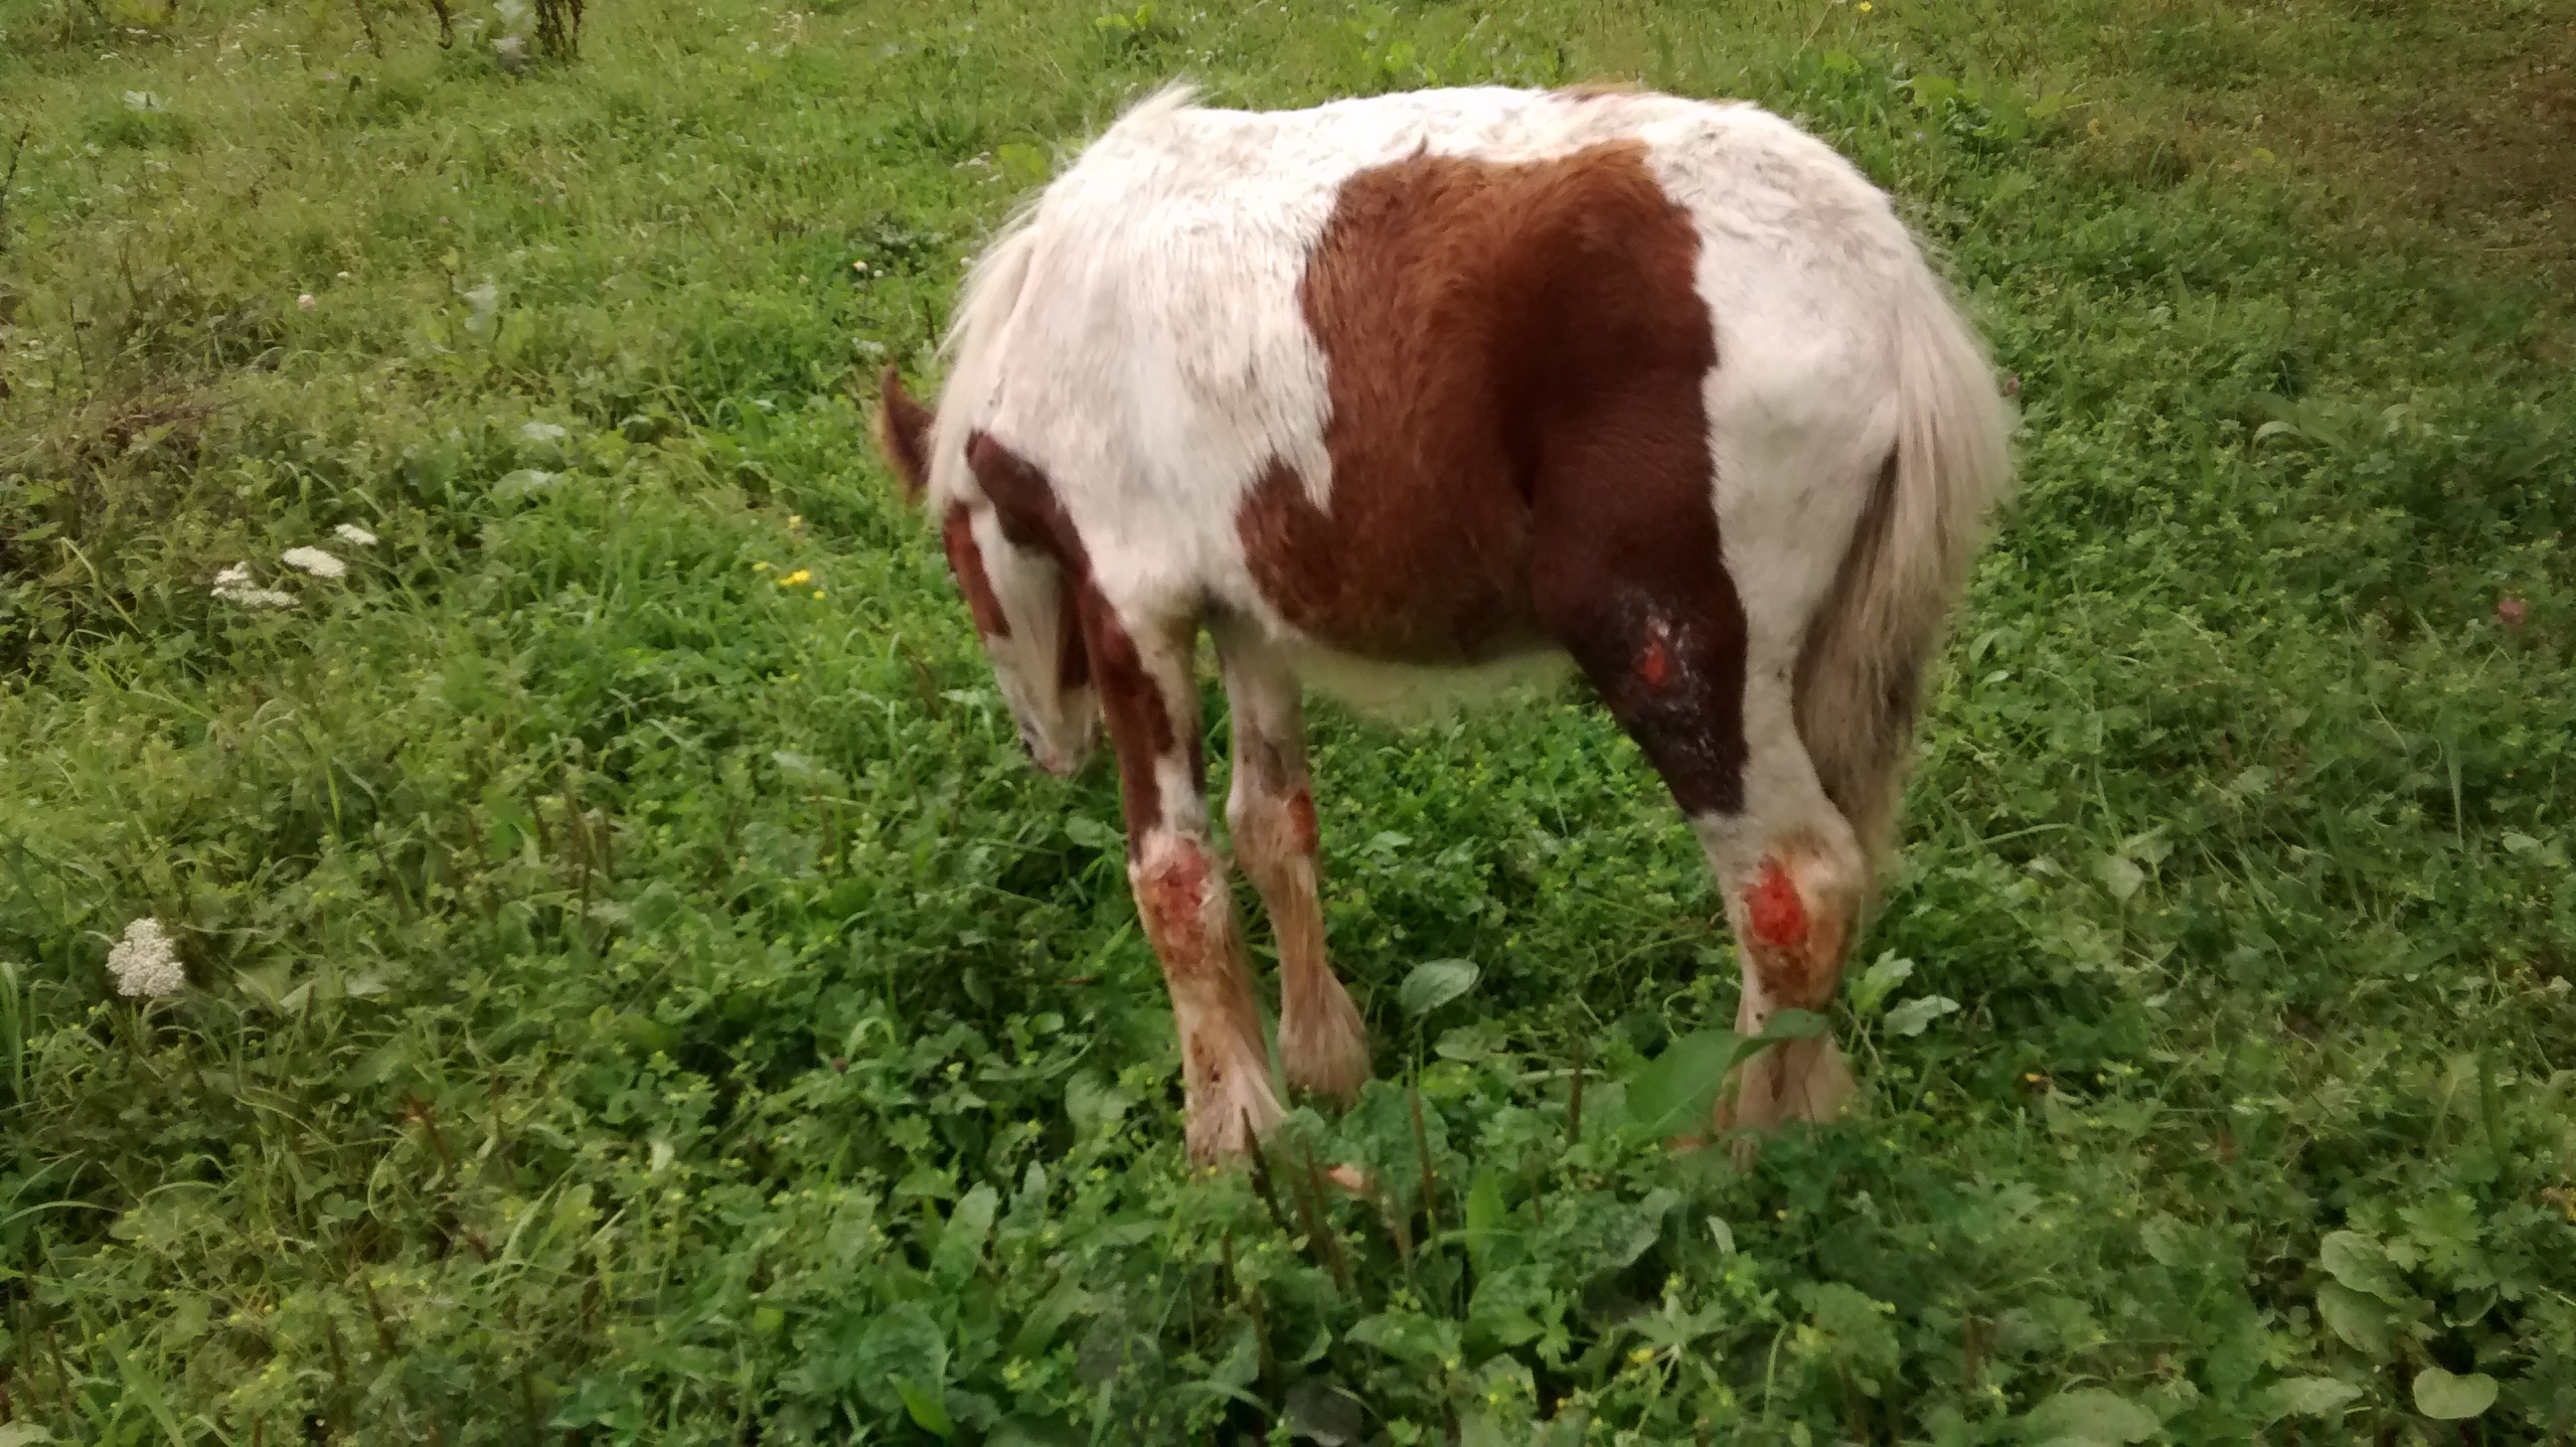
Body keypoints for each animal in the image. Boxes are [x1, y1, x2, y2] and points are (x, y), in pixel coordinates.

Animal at [871, 83, 2009, 1153]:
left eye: (957, 556)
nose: (1046, 745)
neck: (1062, 316)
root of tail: (1886, 289)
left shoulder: (1130, 606)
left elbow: (1175, 881)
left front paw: (1239, 1150)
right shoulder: (1249, 613)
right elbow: (1272, 825)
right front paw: (1323, 1069)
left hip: (1674, 652)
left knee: (1793, 893)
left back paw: (1731, 1153)